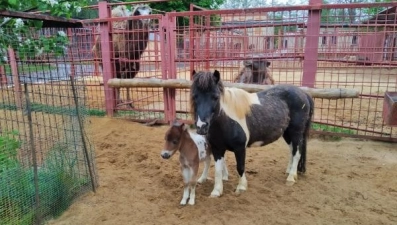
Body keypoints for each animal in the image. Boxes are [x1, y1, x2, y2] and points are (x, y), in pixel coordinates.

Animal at [190, 69, 314, 197]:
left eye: (215, 97)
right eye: (194, 96)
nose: (201, 126)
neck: (226, 120)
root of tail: (303, 94)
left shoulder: (240, 148)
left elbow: (240, 167)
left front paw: (241, 187)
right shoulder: (217, 149)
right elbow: (218, 170)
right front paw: (216, 191)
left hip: (296, 133)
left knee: (297, 152)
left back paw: (291, 178)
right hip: (287, 133)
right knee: (292, 151)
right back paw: (288, 171)